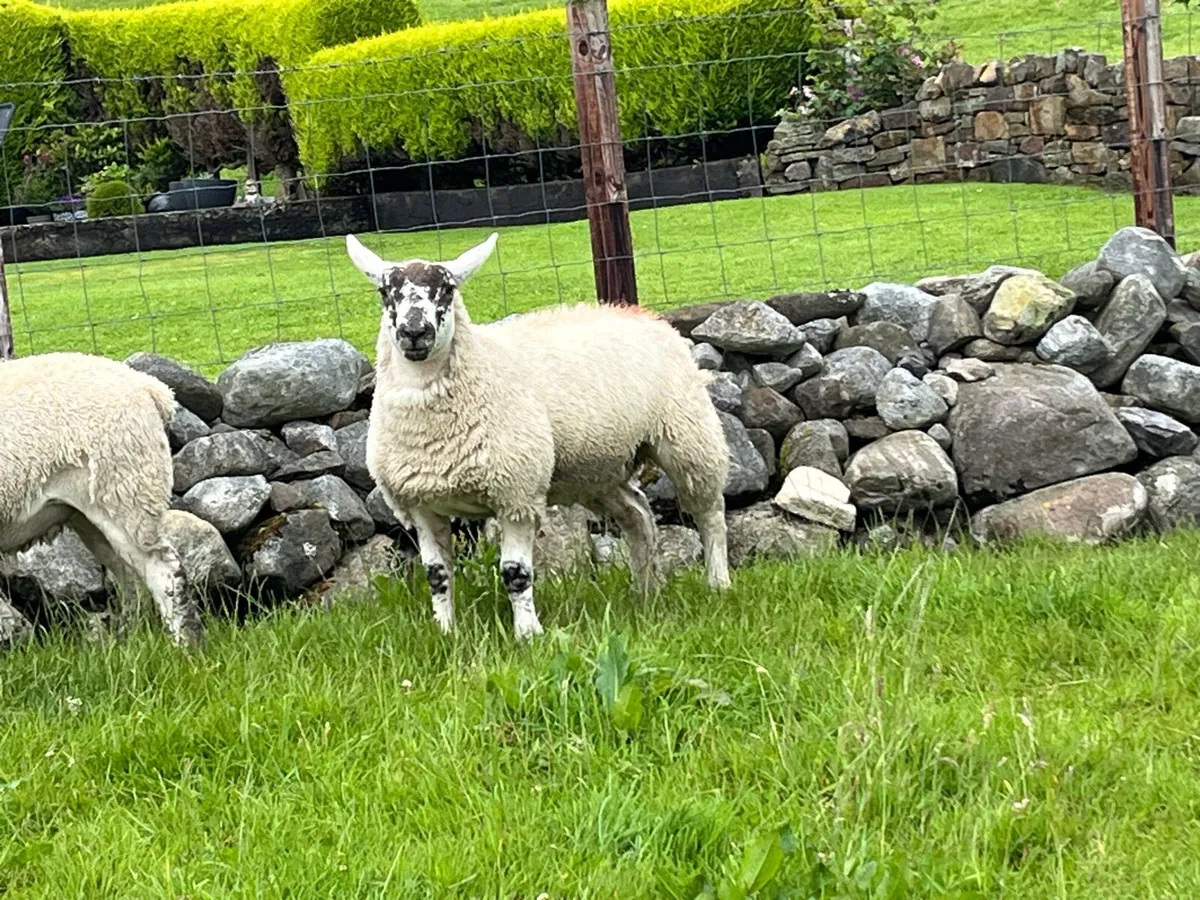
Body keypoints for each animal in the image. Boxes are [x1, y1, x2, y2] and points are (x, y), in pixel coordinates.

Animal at [0, 352, 203, 647]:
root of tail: (150, 387)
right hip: (92, 511)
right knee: (127, 575)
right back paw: (127, 638)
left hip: (126, 492)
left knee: (163, 571)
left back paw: (184, 646)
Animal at [346, 231, 731, 639]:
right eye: (385, 292)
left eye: (448, 289)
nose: (414, 333)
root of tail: (640, 313)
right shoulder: (420, 504)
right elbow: (437, 576)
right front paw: (446, 632)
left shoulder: (516, 492)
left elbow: (515, 574)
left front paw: (528, 635)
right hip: (597, 468)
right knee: (638, 515)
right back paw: (644, 591)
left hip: (689, 434)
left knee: (710, 513)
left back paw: (718, 584)